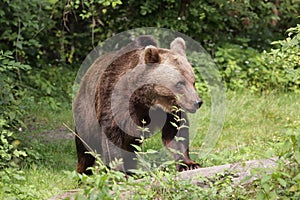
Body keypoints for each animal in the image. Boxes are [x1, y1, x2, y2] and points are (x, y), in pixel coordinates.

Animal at [73, 35, 202, 174]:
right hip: (86, 113)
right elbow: (112, 134)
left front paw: (189, 164)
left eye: (193, 82)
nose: (197, 102)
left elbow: (175, 132)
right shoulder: (115, 100)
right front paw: (119, 171)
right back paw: (84, 172)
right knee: (86, 147)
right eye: (180, 83)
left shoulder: (167, 110)